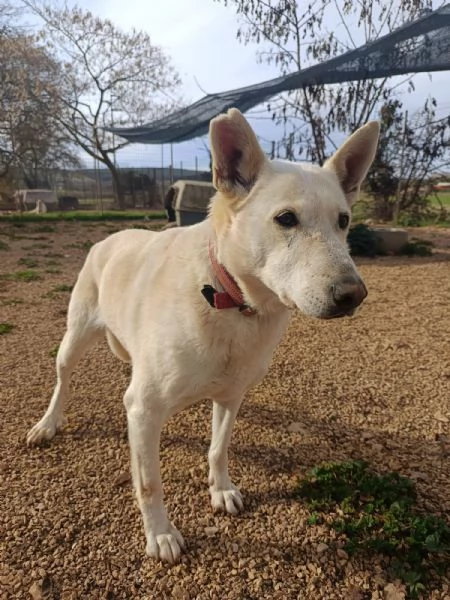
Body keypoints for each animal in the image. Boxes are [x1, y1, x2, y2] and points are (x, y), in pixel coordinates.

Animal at [27, 108, 380, 564]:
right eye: (286, 219)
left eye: (344, 221)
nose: (354, 294)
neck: (227, 297)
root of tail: (112, 236)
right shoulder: (144, 409)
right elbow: (149, 483)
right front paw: (160, 535)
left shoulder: (230, 396)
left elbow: (218, 447)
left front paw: (221, 490)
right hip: (73, 339)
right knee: (63, 381)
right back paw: (47, 424)